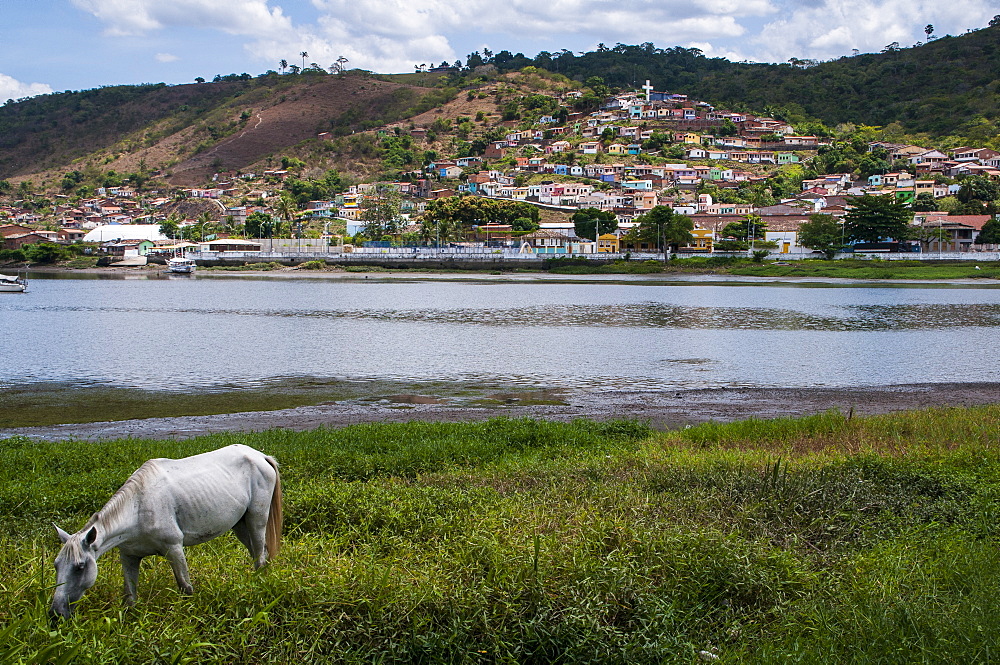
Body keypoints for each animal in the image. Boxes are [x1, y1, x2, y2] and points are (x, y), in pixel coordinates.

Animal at [53, 444, 284, 620]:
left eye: (80, 567)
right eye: (56, 565)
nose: (55, 613)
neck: (138, 508)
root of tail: (260, 456)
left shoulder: (174, 548)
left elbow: (185, 588)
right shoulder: (129, 556)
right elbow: (130, 596)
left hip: (256, 518)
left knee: (259, 555)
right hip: (240, 525)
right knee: (259, 552)